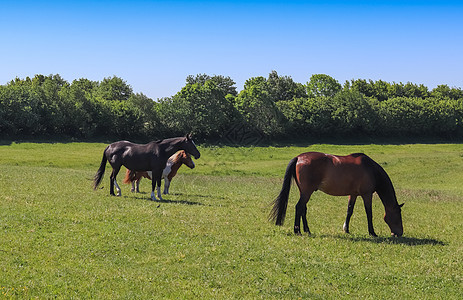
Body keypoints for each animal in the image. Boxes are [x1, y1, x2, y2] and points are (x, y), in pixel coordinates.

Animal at [270, 152, 404, 237]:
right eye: (398, 215)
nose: (399, 233)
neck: (371, 169)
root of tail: (299, 158)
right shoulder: (367, 195)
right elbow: (369, 213)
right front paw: (372, 232)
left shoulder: (353, 194)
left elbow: (349, 211)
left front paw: (346, 229)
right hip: (307, 192)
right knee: (299, 207)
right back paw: (297, 231)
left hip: (303, 192)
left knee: (303, 209)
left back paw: (307, 230)